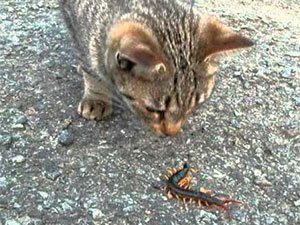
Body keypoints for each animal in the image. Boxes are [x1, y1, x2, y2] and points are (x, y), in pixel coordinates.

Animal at [59, 0, 252, 135]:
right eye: (153, 110)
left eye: (195, 106)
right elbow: (90, 68)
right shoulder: (75, 22)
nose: (171, 133)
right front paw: (96, 97)